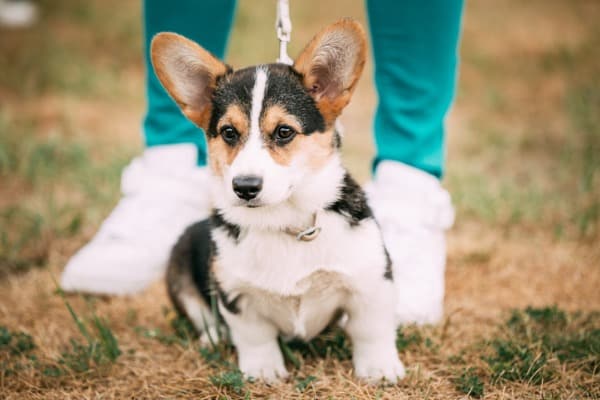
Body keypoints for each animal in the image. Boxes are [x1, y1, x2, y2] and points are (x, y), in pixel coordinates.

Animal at [150, 19, 406, 384]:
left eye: (284, 132)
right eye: (228, 132)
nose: (244, 187)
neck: (285, 222)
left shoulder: (371, 281)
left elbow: (372, 329)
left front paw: (379, 368)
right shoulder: (236, 294)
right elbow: (254, 335)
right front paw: (262, 369)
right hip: (180, 263)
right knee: (202, 314)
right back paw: (213, 337)